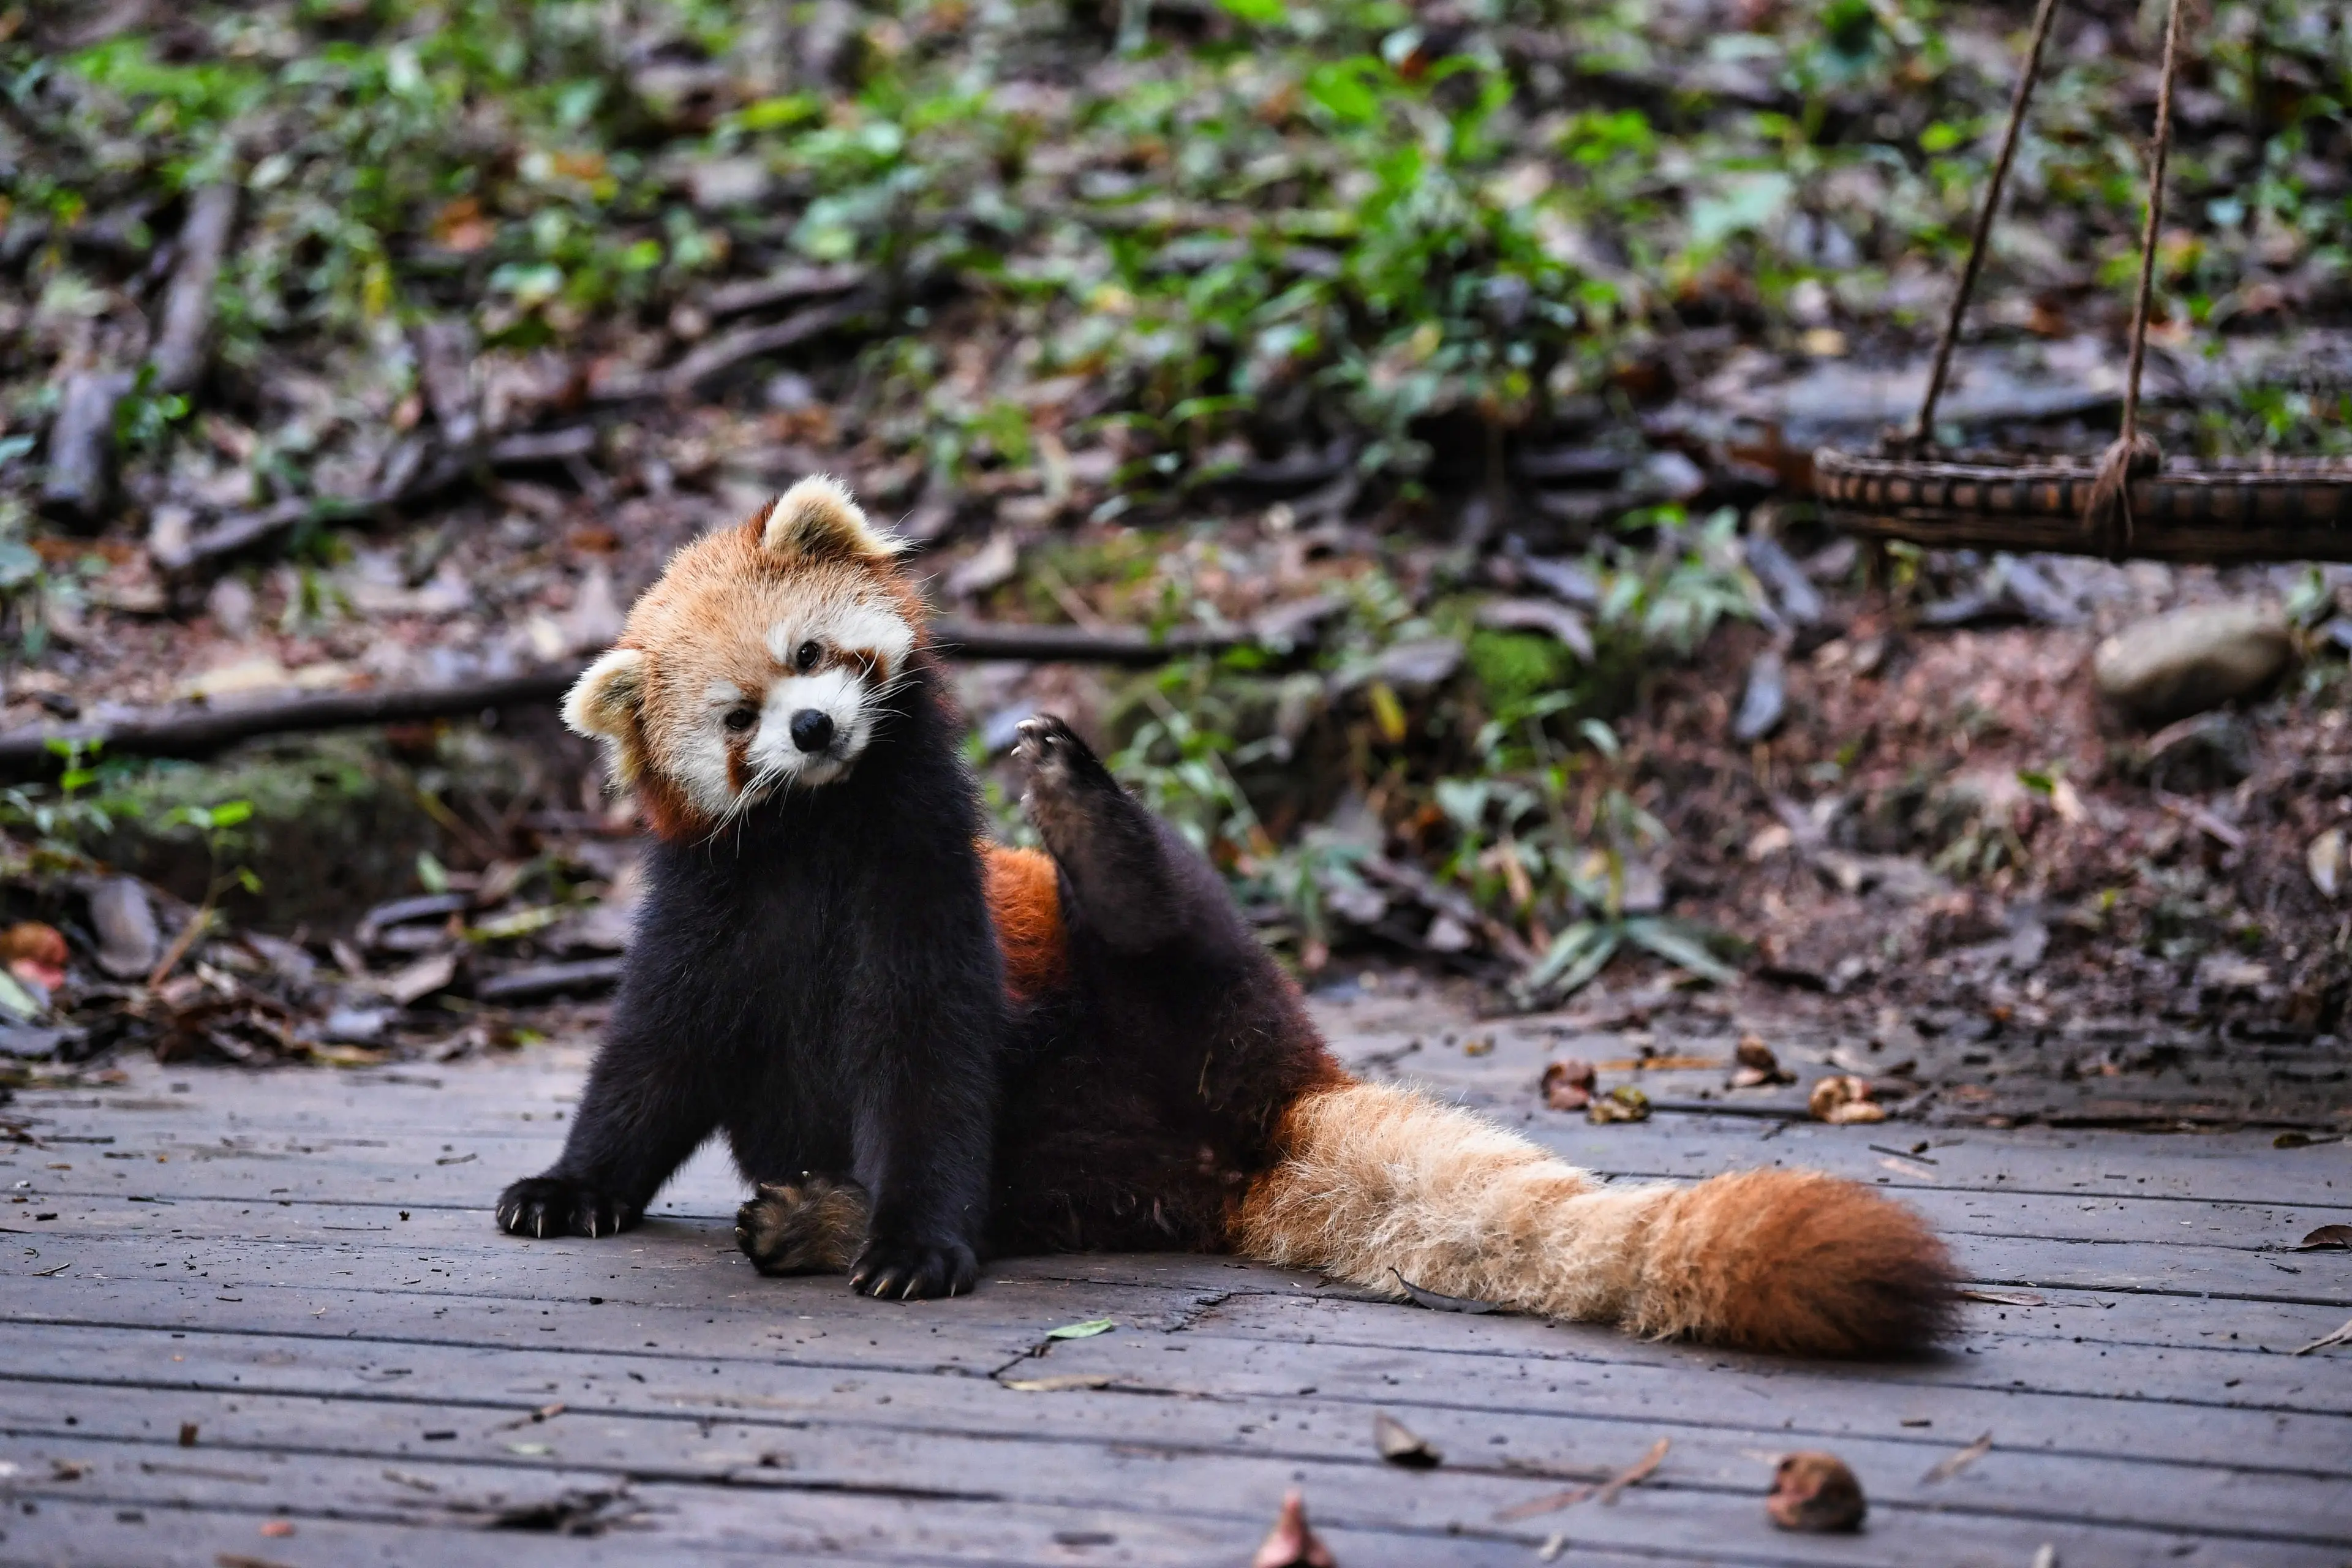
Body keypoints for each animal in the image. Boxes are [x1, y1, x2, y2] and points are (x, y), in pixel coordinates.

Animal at [495, 476, 1955, 1356]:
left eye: (811, 655)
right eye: (739, 719)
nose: (811, 727)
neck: (820, 835)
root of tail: (1269, 1117)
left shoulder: (927, 878)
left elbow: (926, 1065)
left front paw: (915, 1245)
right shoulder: (708, 906)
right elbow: (652, 1062)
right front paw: (569, 1187)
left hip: (1198, 992)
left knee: (1166, 931)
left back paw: (1081, 816)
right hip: (1106, 1159)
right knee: (1052, 1194)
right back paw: (817, 1218)